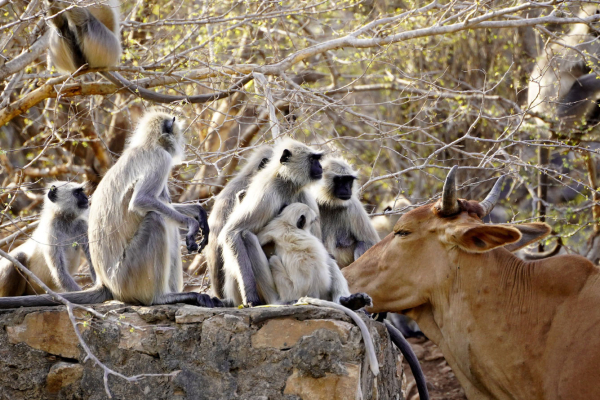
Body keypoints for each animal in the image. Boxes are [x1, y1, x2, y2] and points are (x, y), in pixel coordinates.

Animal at [0, 111, 221, 308]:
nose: (181, 139)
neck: (147, 144)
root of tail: (106, 283)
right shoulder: (161, 158)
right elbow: (142, 201)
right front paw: (192, 224)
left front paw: (198, 212)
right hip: (126, 275)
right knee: (156, 219)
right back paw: (161, 298)